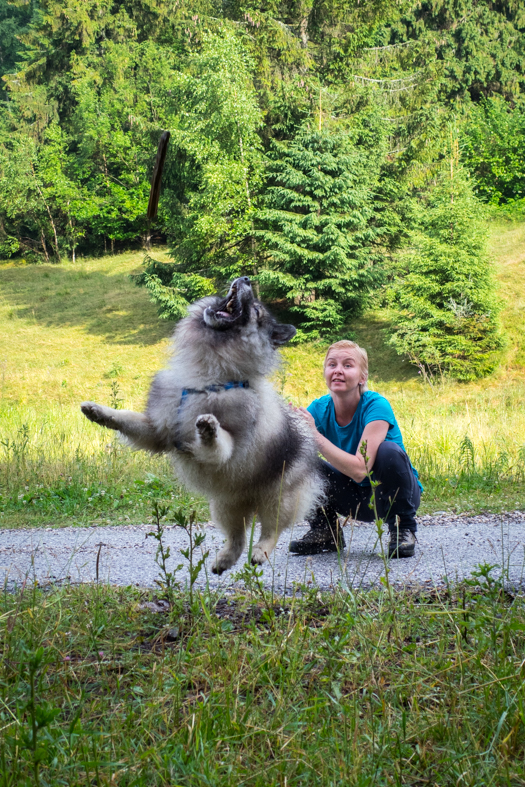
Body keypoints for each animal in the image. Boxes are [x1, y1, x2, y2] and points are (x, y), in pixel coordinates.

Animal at [81, 278, 324, 572]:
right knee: (237, 538)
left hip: (278, 497)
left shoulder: (232, 445)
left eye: (256, 311)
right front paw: (99, 412)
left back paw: (260, 552)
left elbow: (218, 444)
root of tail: (251, 501)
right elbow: (127, 419)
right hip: (224, 505)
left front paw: (209, 429)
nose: (245, 279)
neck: (209, 376)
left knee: (271, 530)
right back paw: (224, 560)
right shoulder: (159, 429)